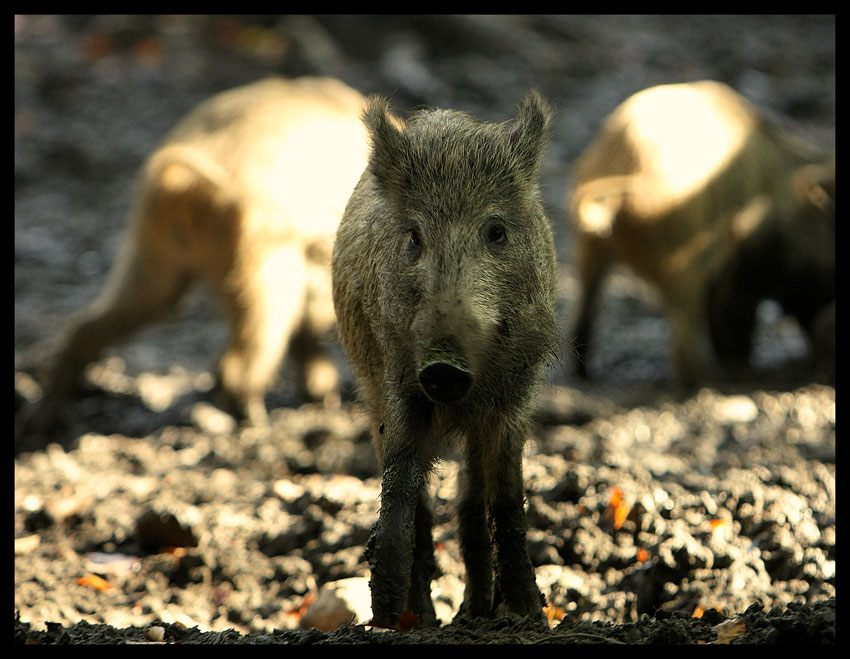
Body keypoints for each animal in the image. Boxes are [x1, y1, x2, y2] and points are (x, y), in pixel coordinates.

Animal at [568, 80, 832, 386]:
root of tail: (628, 170)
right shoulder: (741, 268)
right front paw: (740, 367)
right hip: (680, 262)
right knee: (684, 340)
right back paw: (702, 383)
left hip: (587, 245)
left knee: (584, 307)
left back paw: (582, 373)